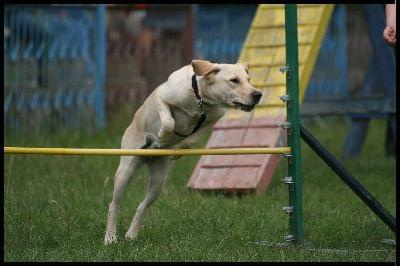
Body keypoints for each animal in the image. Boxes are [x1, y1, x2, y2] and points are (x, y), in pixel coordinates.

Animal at [103, 59, 262, 244]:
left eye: (249, 80)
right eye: (234, 80)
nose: (258, 94)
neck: (200, 99)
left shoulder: (213, 119)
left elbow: (191, 139)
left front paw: (176, 150)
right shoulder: (161, 96)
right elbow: (168, 121)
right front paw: (163, 136)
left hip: (158, 182)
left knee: (142, 206)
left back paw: (131, 235)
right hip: (126, 170)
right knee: (114, 205)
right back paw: (110, 237)